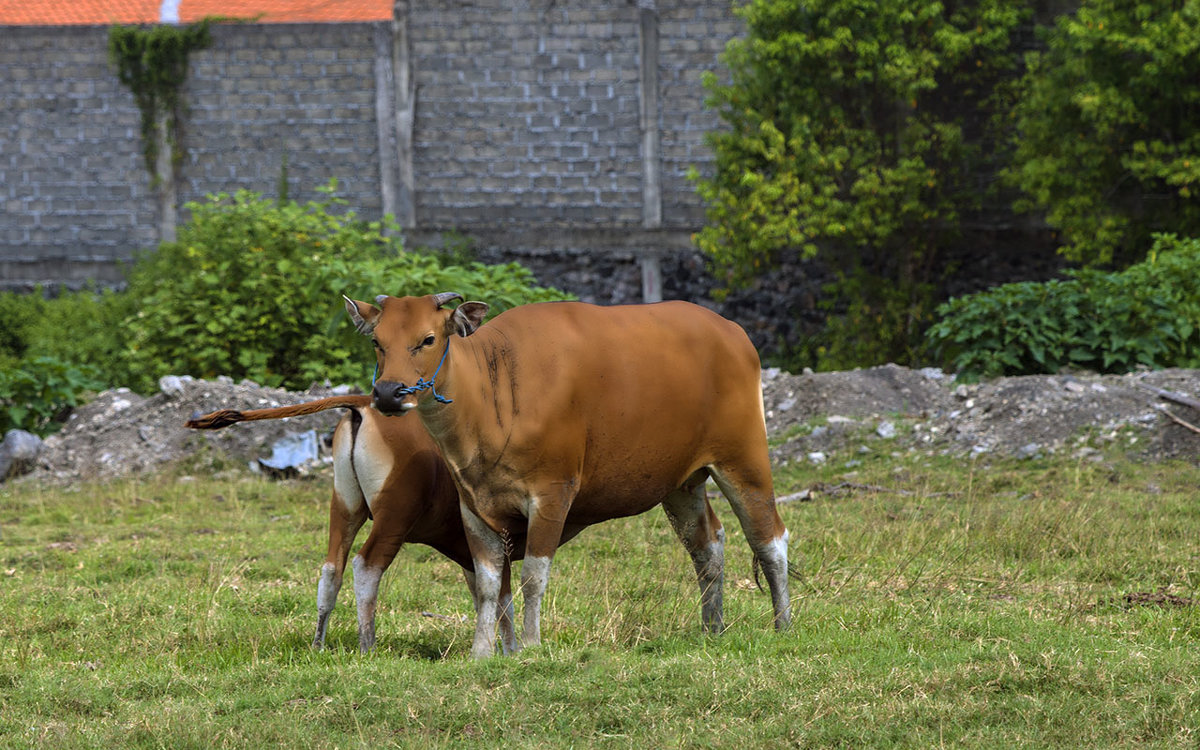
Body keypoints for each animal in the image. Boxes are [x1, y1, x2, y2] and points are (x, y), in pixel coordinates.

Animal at [345, 291, 796, 652]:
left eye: (428, 339)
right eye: (377, 342)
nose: (388, 394)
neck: (497, 390)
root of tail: (733, 333)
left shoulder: (552, 492)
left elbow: (533, 576)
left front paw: (529, 645)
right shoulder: (473, 506)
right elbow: (488, 583)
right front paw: (481, 652)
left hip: (744, 458)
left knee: (769, 538)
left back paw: (783, 625)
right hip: (681, 482)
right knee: (707, 546)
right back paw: (712, 628)